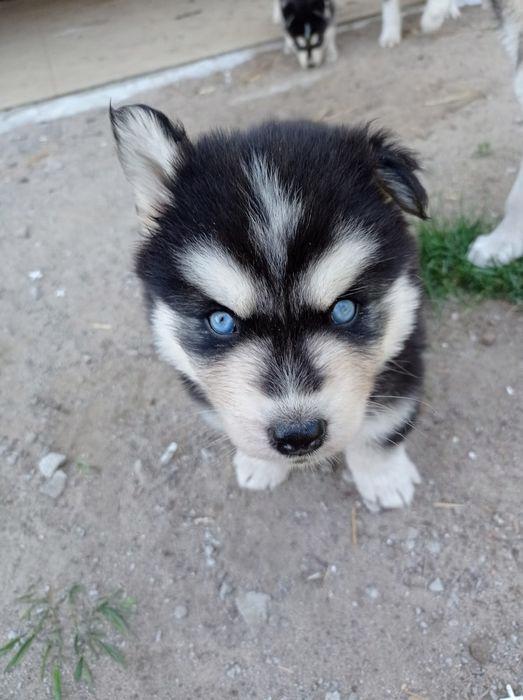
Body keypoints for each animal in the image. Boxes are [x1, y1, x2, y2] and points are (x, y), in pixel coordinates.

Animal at [109, 105, 426, 508]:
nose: (299, 435)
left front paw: (384, 478)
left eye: (344, 310)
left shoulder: (403, 346)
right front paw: (259, 465)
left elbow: (383, 425)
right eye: (221, 320)